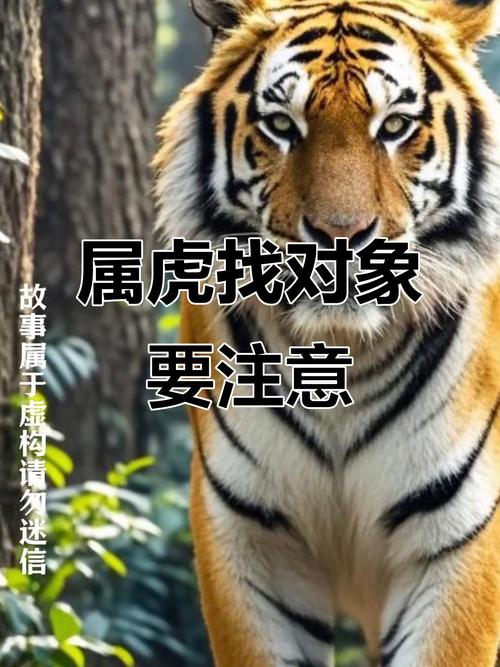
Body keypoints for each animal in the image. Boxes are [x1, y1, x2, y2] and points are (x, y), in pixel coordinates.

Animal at [153, 0, 500, 664]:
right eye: (281, 125)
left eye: (395, 126)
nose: (341, 237)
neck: (343, 351)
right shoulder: (249, 540)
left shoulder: (457, 540)